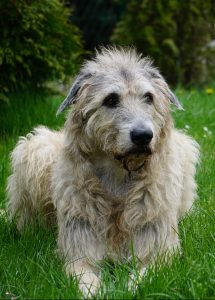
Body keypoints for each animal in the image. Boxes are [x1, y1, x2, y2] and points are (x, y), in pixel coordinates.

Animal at [6, 47, 200, 296]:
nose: (143, 136)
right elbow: (84, 277)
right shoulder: (79, 251)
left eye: (149, 97)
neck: (118, 175)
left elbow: (143, 278)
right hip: (36, 150)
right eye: (111, 99)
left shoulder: (159, 252)